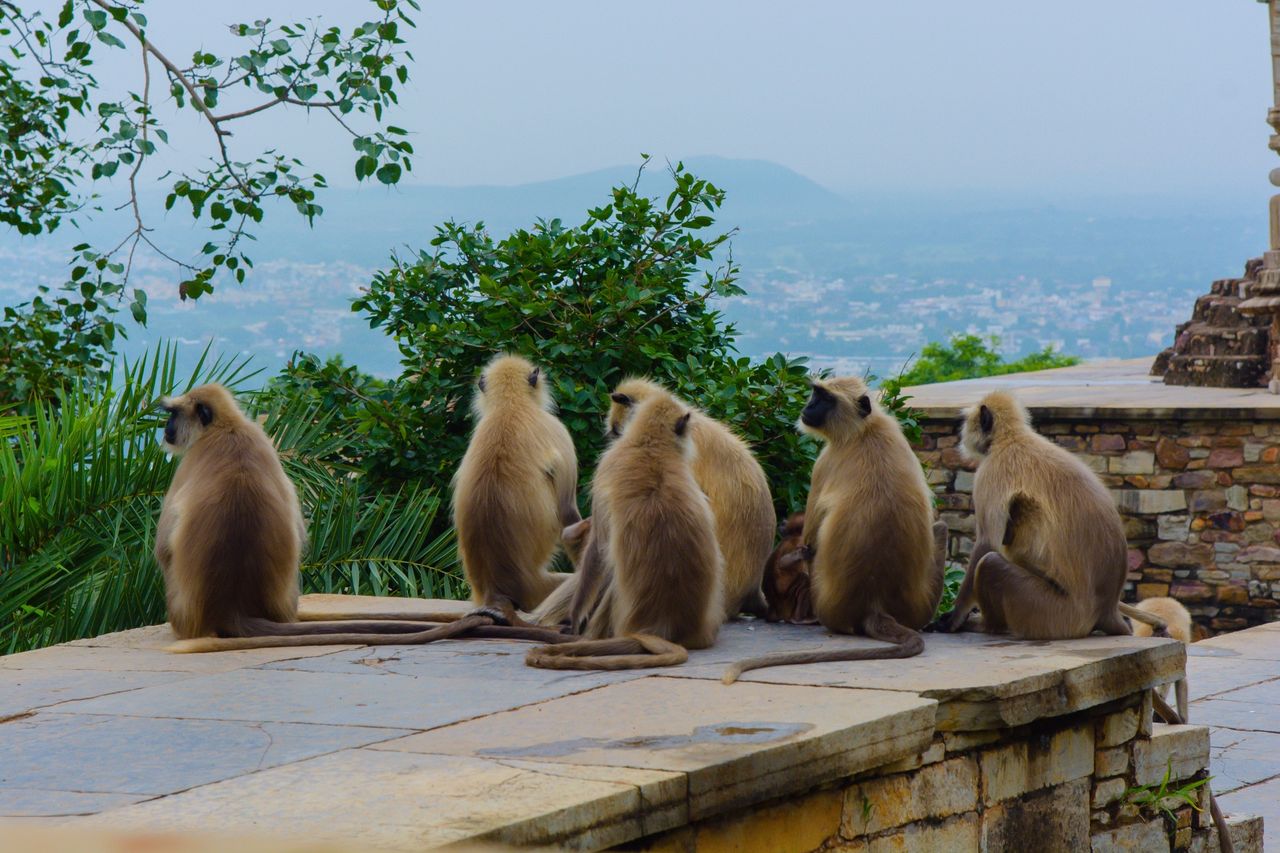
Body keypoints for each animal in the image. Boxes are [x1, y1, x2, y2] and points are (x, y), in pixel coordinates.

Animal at [721, 376, 952, 681]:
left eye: (826, 399)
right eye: (815, 394)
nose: (809, 407)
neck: (863, 431)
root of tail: (874, 605)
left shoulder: (824, 462)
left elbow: (808, 538)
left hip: (827, 605)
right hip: (918, 607)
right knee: (941, 526)